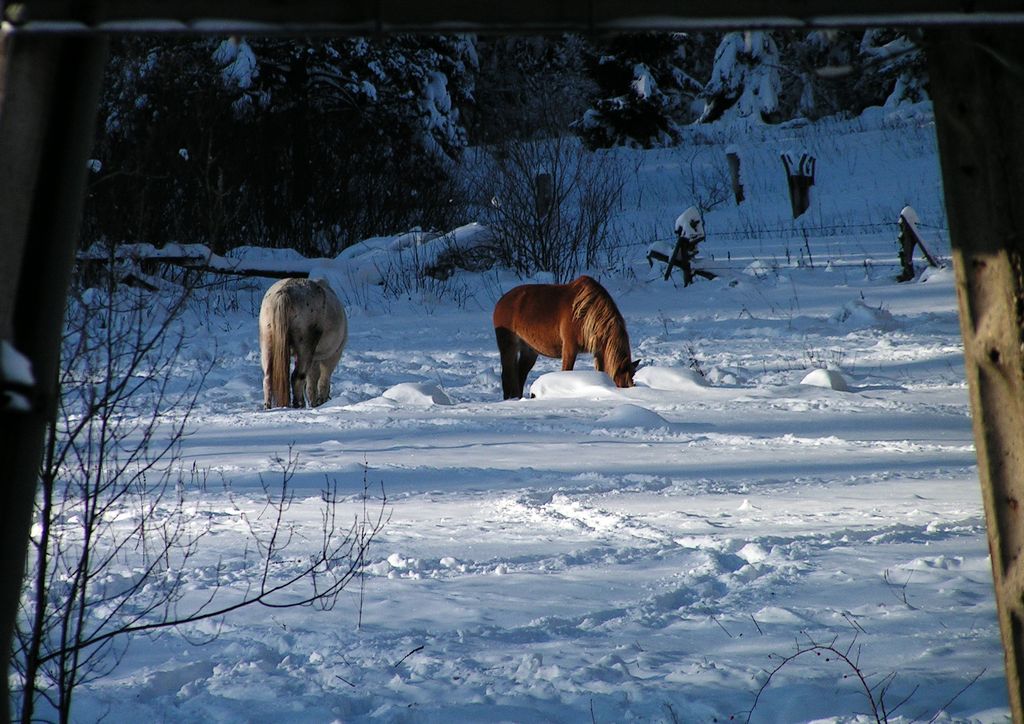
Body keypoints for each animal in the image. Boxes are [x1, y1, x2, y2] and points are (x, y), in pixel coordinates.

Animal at [260, 278, 348, 407]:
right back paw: (299, 404)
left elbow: (311, 382)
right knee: (297, 377)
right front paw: (320, 401)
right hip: (305, 348)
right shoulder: (332, 356)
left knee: (268, 378)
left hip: (267, 343)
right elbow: (322, 380)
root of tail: (285, 290)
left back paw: (268, 406)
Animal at [491, 274, 634, 399]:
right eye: (621, 385)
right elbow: (567, 371)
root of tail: (501, 301)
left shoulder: (599, 352)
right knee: (507, 375)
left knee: (520, 375)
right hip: (508, 347)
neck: (586, 312)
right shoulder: (570, 347)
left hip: (529, 350)